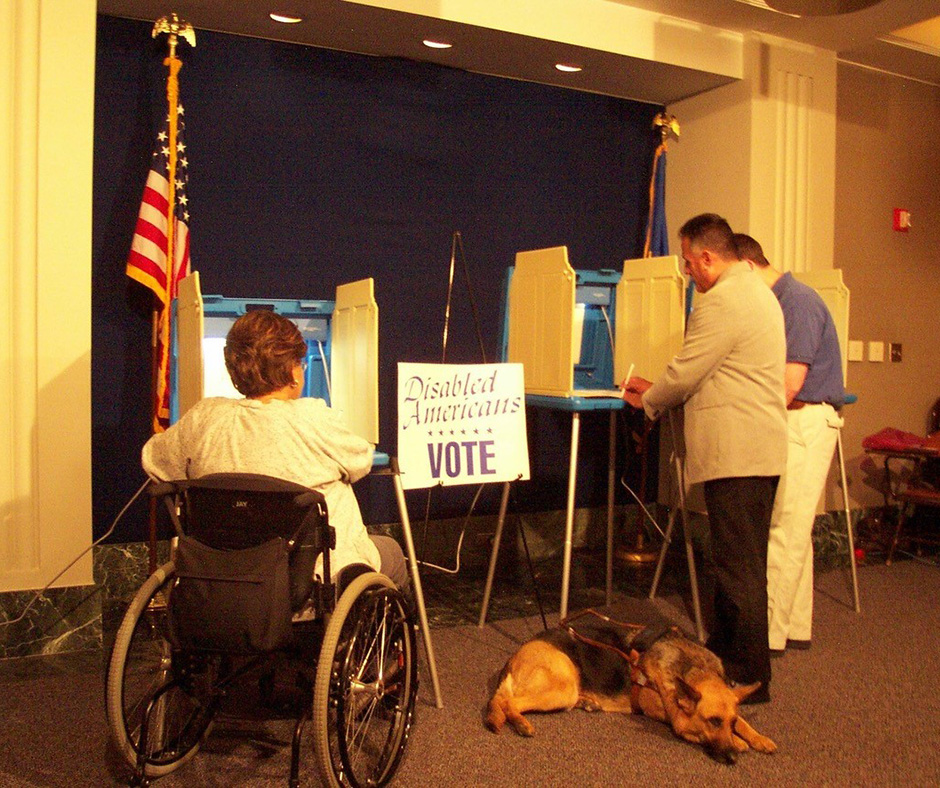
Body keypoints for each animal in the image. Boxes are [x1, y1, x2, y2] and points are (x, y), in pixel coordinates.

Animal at [484, 620, 780, 764]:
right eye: (713, 721)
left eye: (728, 721)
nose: (732, 759)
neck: (695, 667)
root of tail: (514, 656)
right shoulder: (670, 713)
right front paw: (739, 742)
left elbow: (743, 722)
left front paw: (757, 738)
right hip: (562, 687)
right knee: (509, 702)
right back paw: (521, 723)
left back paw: (588, 702)